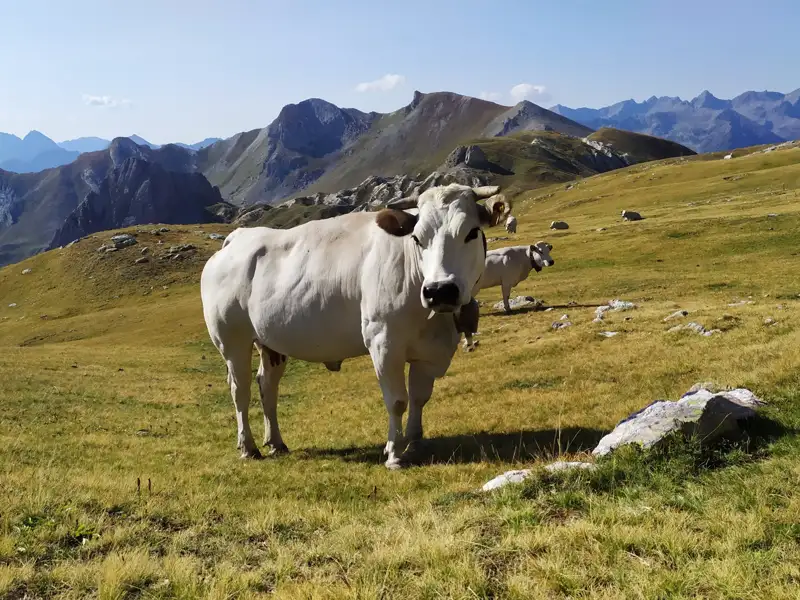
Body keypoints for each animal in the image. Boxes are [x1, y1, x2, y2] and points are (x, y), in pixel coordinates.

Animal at [200, 183, 510, 469]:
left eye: (472, 232)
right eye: (417, 238)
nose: (439, 290)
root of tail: (239, 237)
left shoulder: (429, 351)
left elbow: (419, 398)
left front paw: (414, 443)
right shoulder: (383, 341)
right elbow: (397, 400)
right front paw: (394, 453)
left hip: (271, 342)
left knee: (267, 385)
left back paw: (276, 442)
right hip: (232, 340)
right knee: (240, 390)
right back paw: (248, 447)